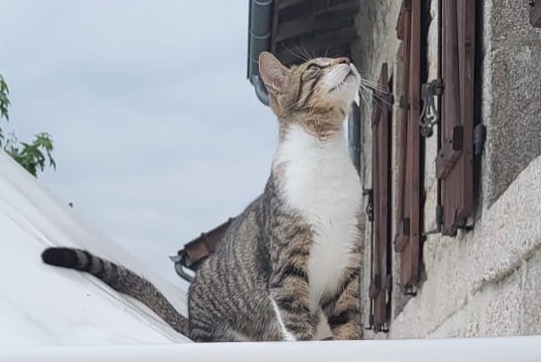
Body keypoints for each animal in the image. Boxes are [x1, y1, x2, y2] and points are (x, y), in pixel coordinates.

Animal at [41, 51, 362, 342]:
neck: (325, 156)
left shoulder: (347, 265)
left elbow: (349, 322)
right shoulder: (286, 270)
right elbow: (297, 325)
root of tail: (190, 321)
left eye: (336, 57)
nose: (347, 58)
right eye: (314, 67)